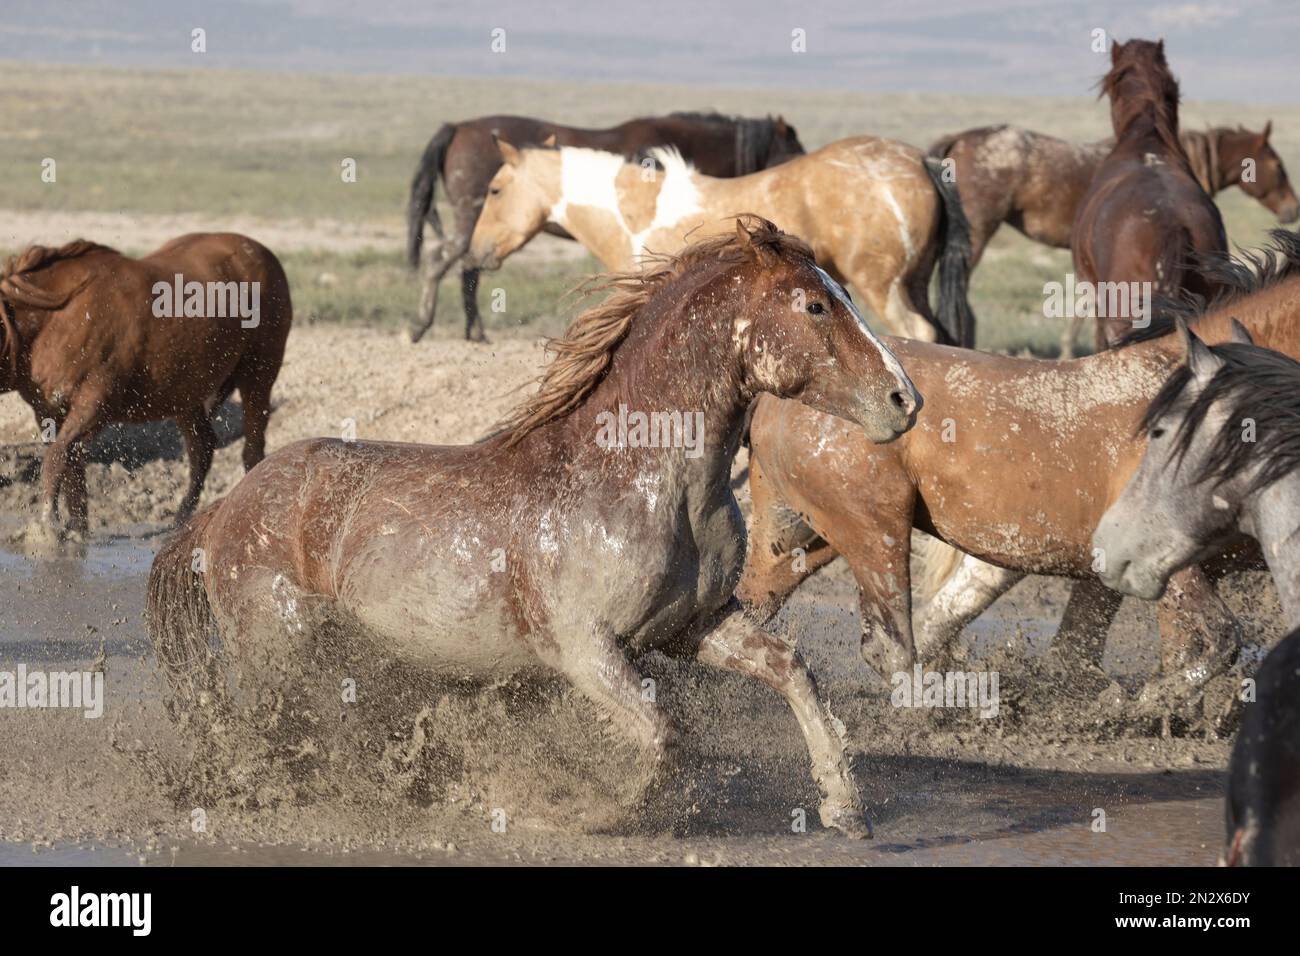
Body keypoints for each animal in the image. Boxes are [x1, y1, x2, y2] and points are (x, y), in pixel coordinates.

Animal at [0, 234, 292, 538]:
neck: (56, 320)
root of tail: (263, 253)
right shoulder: (49, 412)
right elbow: (72, 471)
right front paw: (78, 532)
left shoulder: (94, 406)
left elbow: (57, 458)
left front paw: (48, 527)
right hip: (185, 395)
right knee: (203, 448)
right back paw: (179, 522)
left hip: (258, 375)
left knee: (252, 451)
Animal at [147, 218, 925, 837]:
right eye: (816, 305)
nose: (906, 400)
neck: (642, 481)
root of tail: (223, 510)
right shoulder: (587, 650)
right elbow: (662, 735)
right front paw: (582, 813)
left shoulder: (693, 628)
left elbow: (792, 671)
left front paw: (845, 809)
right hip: (278, 652)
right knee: (271, 728)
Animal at [467, 134, 977, 343]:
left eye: (495, 190)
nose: (476, 252)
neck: (635, 211)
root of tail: (918, 161)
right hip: (914, 285)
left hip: (884, 289)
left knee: (920, 334)